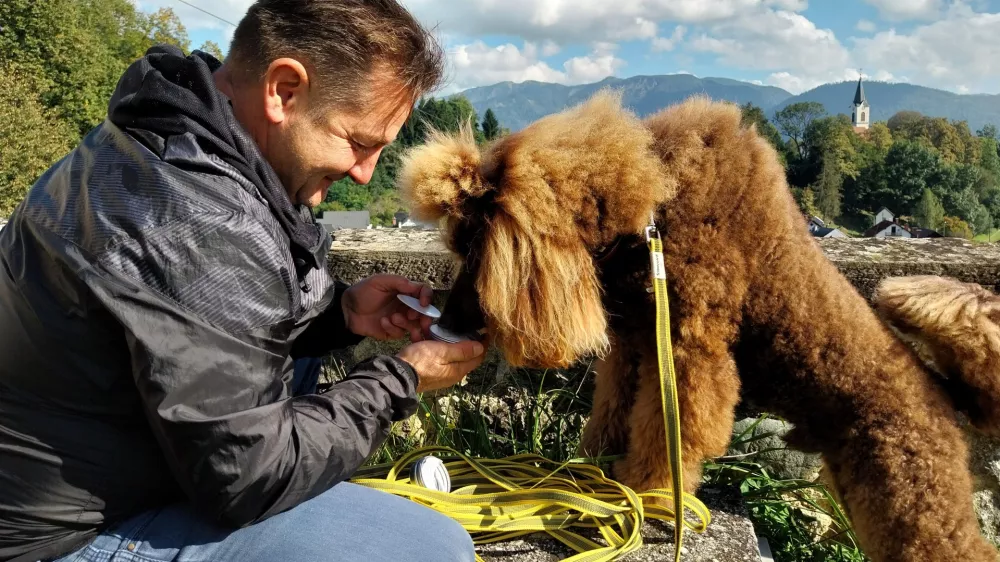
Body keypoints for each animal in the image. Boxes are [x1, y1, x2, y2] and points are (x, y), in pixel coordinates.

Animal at [396, 92, 1000, 560]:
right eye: (458, 250)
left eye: (475, 256)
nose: (445, 323)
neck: (652, 213)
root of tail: (945, 397)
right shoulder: (637, 343)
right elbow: (614, 407)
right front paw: (595, 473)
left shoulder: (688, 349)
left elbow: (670, 430)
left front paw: (649, 492)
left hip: (906, 497)